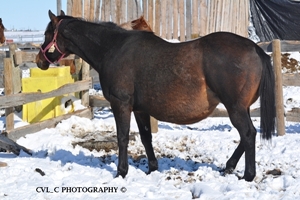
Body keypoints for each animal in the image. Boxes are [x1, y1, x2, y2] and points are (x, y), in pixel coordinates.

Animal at [35, 11, 276, 183]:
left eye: (47, 34)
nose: (39, 60)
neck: (112, 49)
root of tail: (256, 49)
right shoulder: (140, 109)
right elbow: (145, 138)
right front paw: (152, 168)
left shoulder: (121, 104)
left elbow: (122, 138)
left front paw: (121, 172)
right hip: (242, 108)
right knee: (247, 136)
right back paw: (229, 166)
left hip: (235, 108)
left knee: (248, 134)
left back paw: (248, 175)